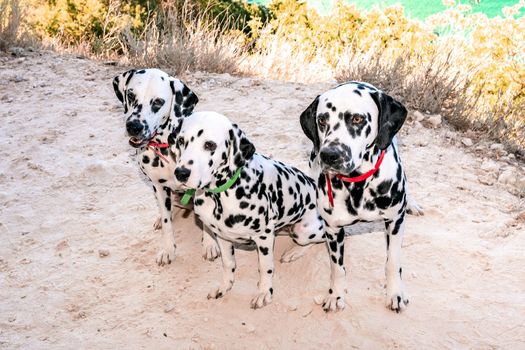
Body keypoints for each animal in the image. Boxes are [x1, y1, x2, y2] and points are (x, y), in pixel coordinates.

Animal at [111, 68, 220, 266]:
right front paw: (168, 249)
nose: (134, 126)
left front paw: (209, 244)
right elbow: (167, 223)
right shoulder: (159, 188)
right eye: (130, 95)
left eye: (158, 102)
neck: (169, 146)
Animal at [169, 110, 324, 308]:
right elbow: (228, 264)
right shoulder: (222, 235)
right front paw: (224, 287)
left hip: (303, 231)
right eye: (181, 141)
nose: (181, 173)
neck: (221, 194)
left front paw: (264, 292)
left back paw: (295, 251)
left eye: (209, 144)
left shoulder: (264, 237)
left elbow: (265, 267)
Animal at [300, 81, 420, 312]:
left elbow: (393, 262)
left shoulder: (395, 222)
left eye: (357, 119)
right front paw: (335, 295)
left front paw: (395, 293)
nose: (330, 155)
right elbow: (337, 268)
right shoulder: (333, 229)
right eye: (322, 120)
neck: (357, 184)